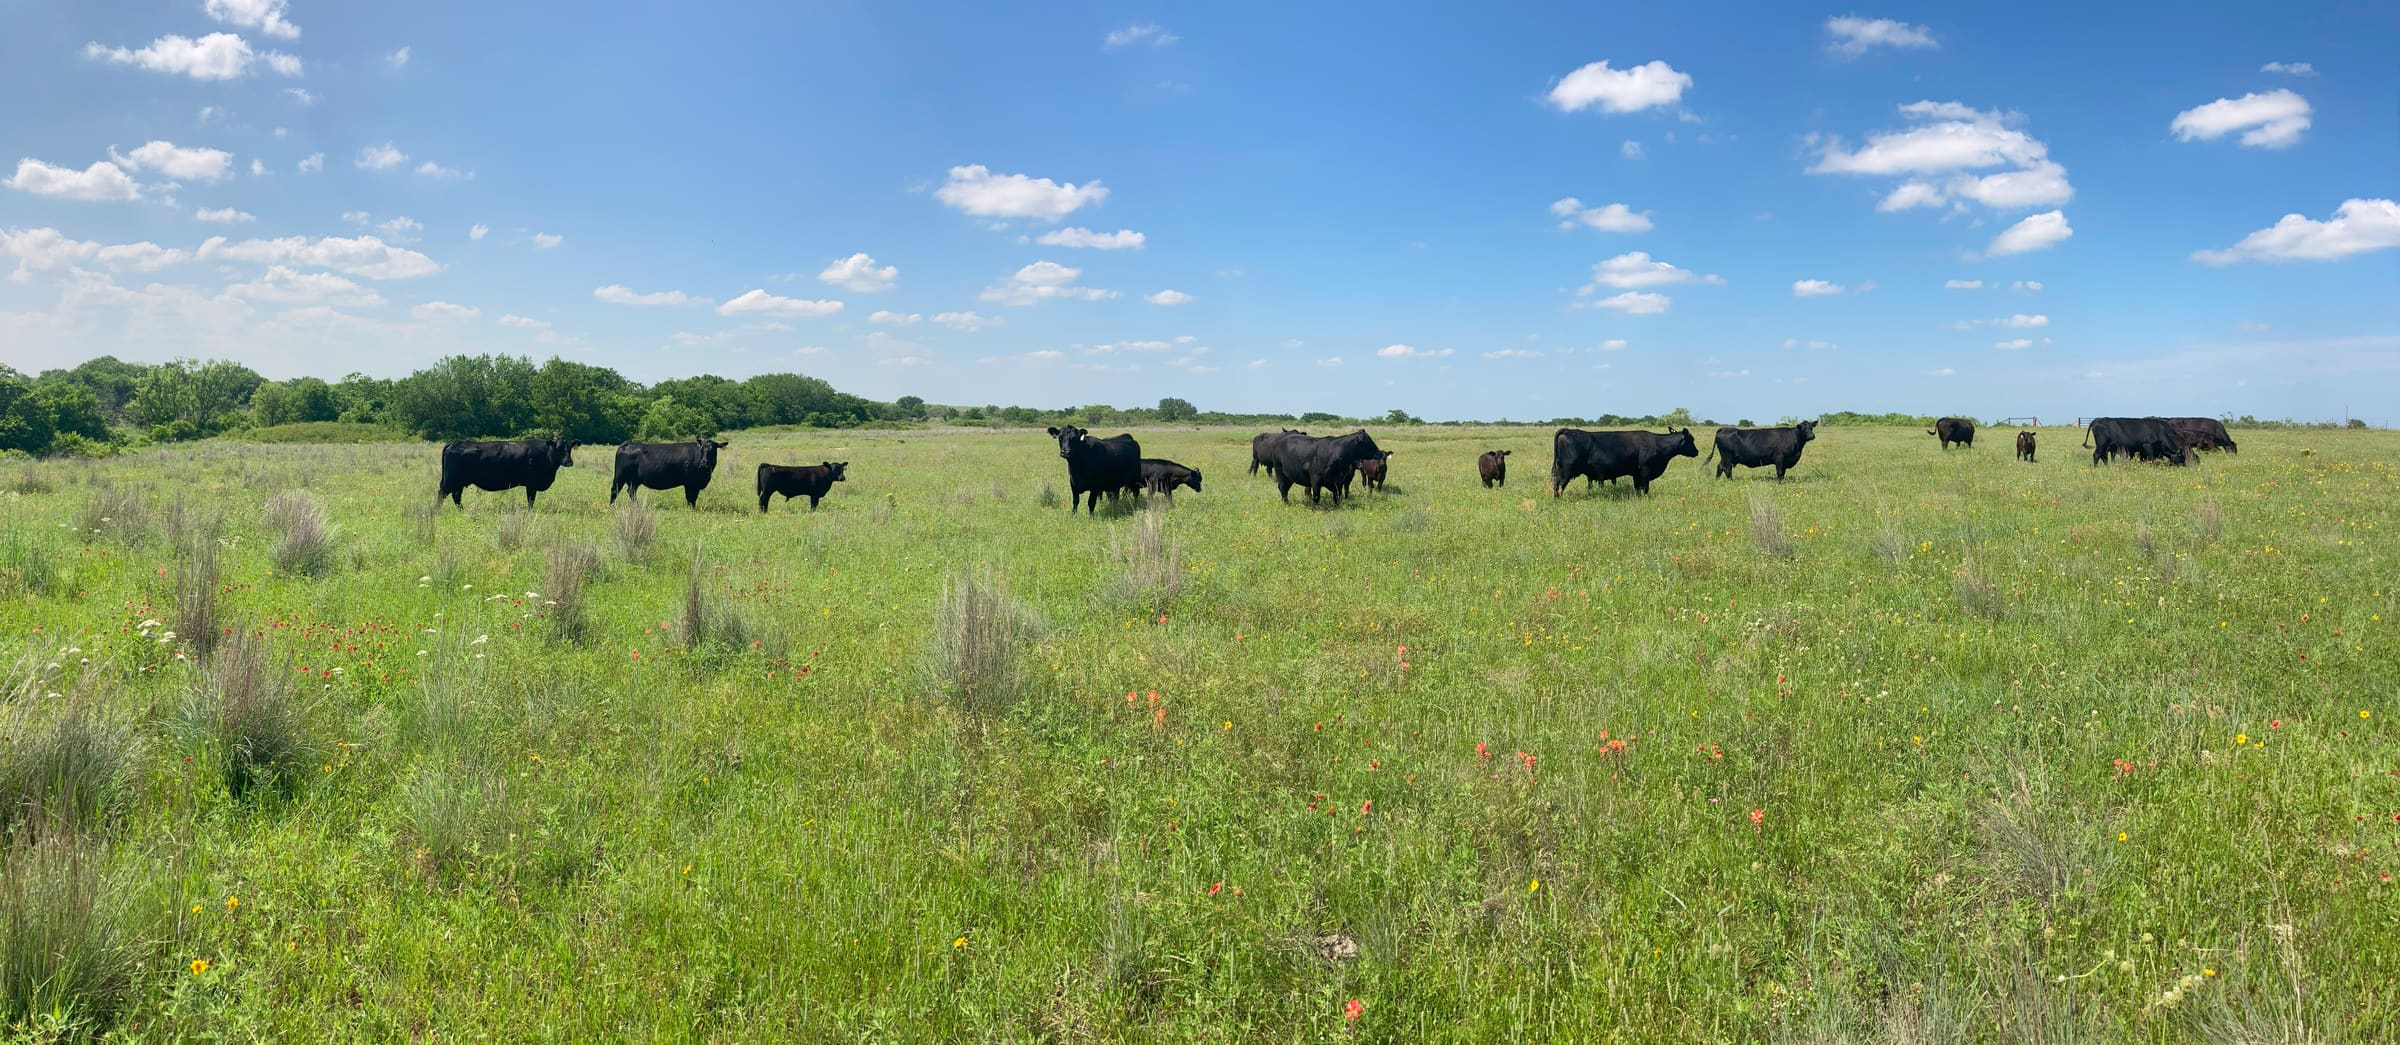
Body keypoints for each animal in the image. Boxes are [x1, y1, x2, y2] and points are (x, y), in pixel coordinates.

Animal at [436, 438, 579, 510]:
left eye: (570, 448)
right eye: (558, 448)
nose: (569, 461)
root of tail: (454, 443)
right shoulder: (531, 484)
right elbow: (531, 501)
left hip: (458, 482)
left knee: (456, 496)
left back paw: (462, 510)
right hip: (450, 480)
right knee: (443, 493)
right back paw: (437, 511)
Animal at [1551, 427, 1699, 496]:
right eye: (1691, 439)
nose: (1697, 452)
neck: (1658, 444)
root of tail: (1568, 430)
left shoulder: (1636, 474)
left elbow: (1637, 489)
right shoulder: (1645, 470)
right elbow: (1645, 488)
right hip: (1566, 470)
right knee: (1559, 486)